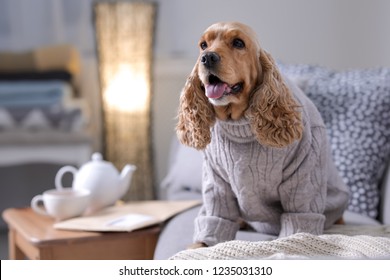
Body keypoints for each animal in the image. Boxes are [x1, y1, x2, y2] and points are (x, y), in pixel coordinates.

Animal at [177, 23, 350, 248]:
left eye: (238, 43)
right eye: (203, 45)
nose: (207, 58)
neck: (239, 122)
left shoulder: (304, 175)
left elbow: (297, 227)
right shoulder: (216, 183)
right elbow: (214, 221)